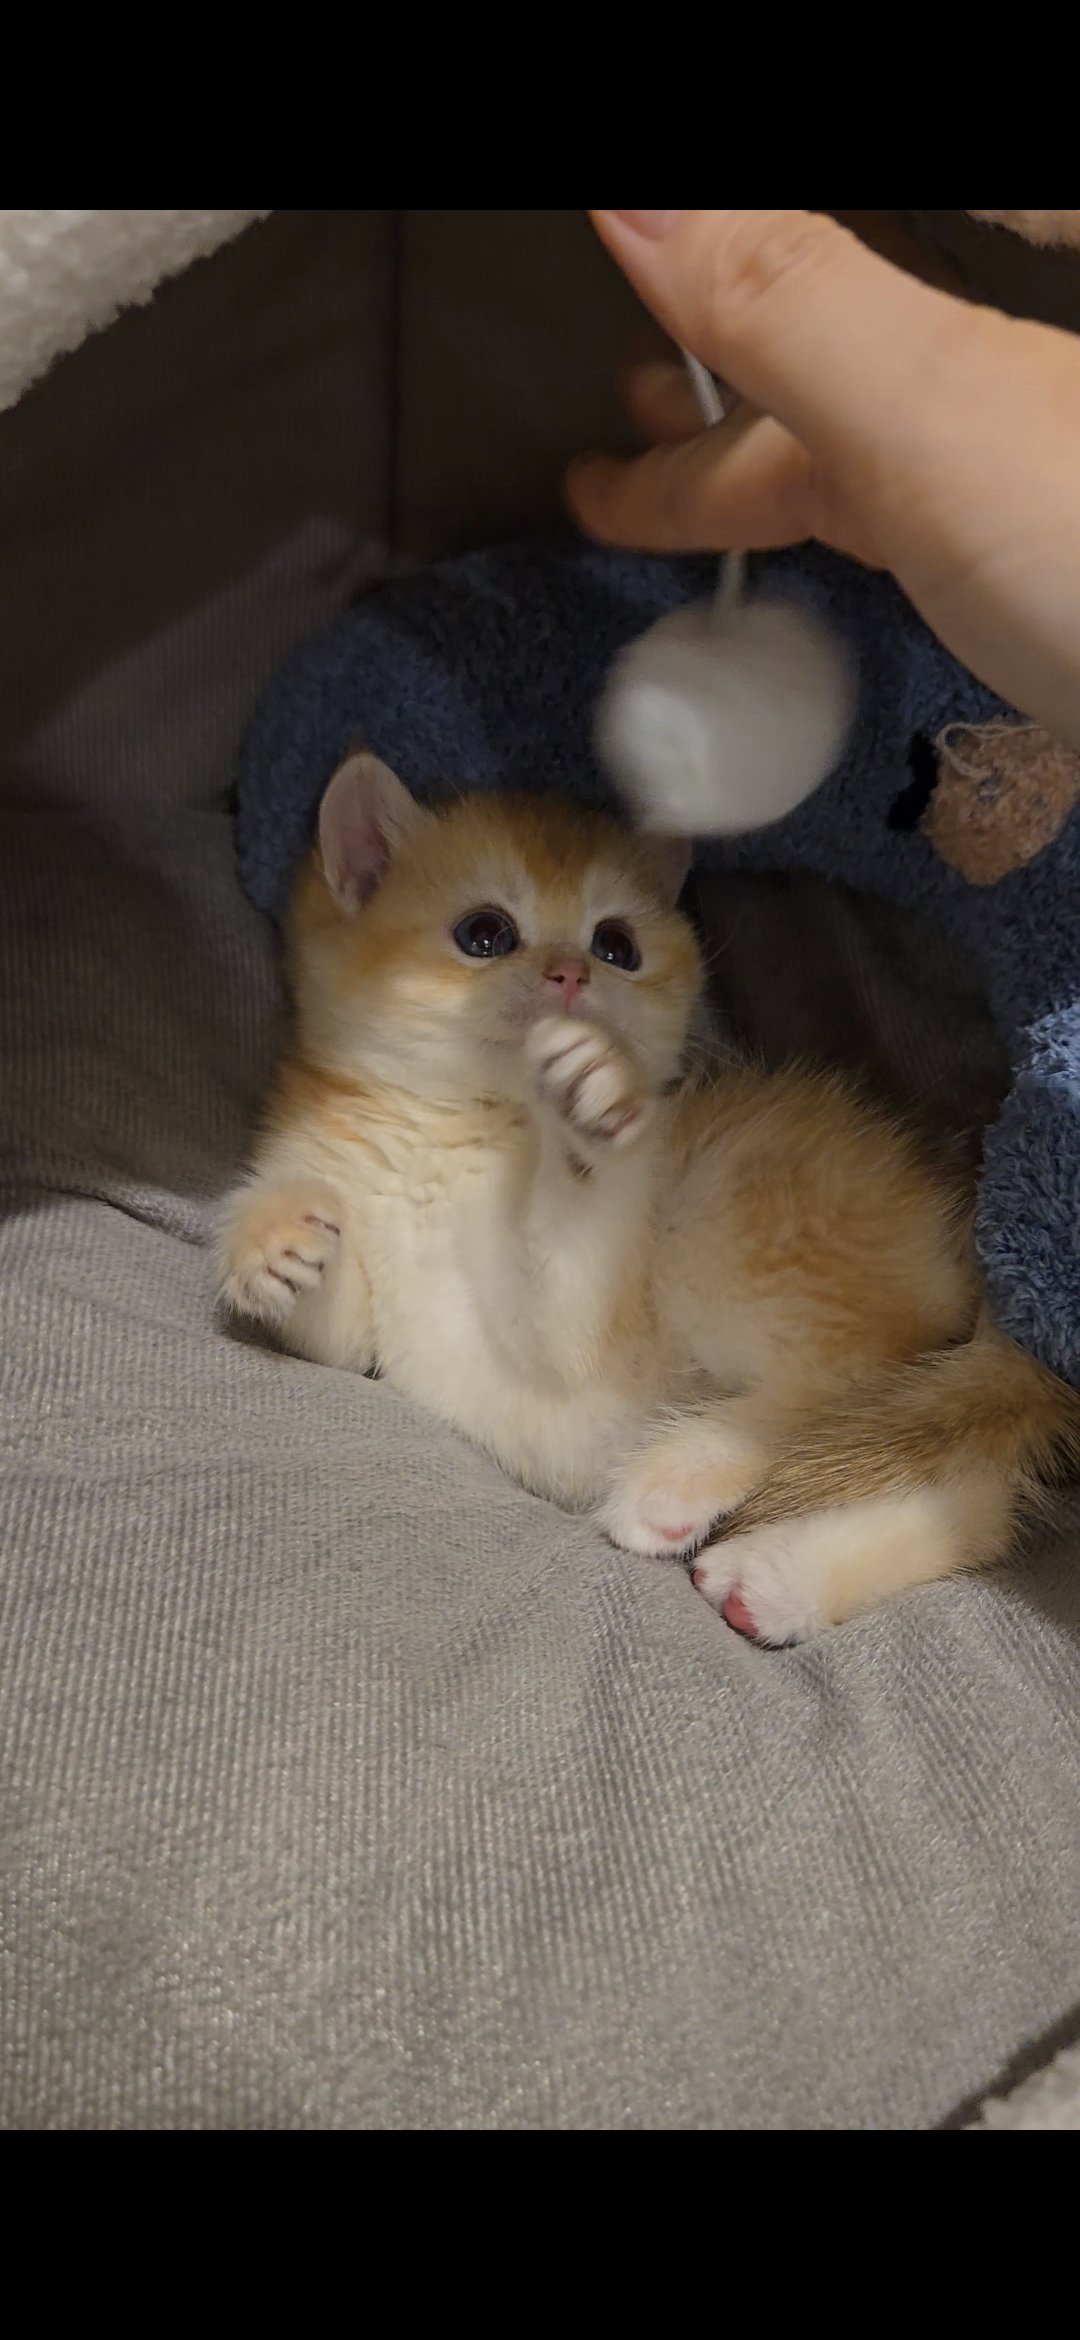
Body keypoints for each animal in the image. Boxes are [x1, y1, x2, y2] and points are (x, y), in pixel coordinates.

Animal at [216, 750, 1079, 1644]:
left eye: (616, 945)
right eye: (484, 934)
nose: (570, 972)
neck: (450, 1126)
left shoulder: (569, 1320)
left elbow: (565, 1243)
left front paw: (588, 1109)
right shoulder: (367, 1319)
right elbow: (333, 1334)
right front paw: (277, 1244)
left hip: (733, 1198)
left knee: (841, 1388)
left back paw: (681, 1475)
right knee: (964, 1493)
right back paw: (774, 1579)